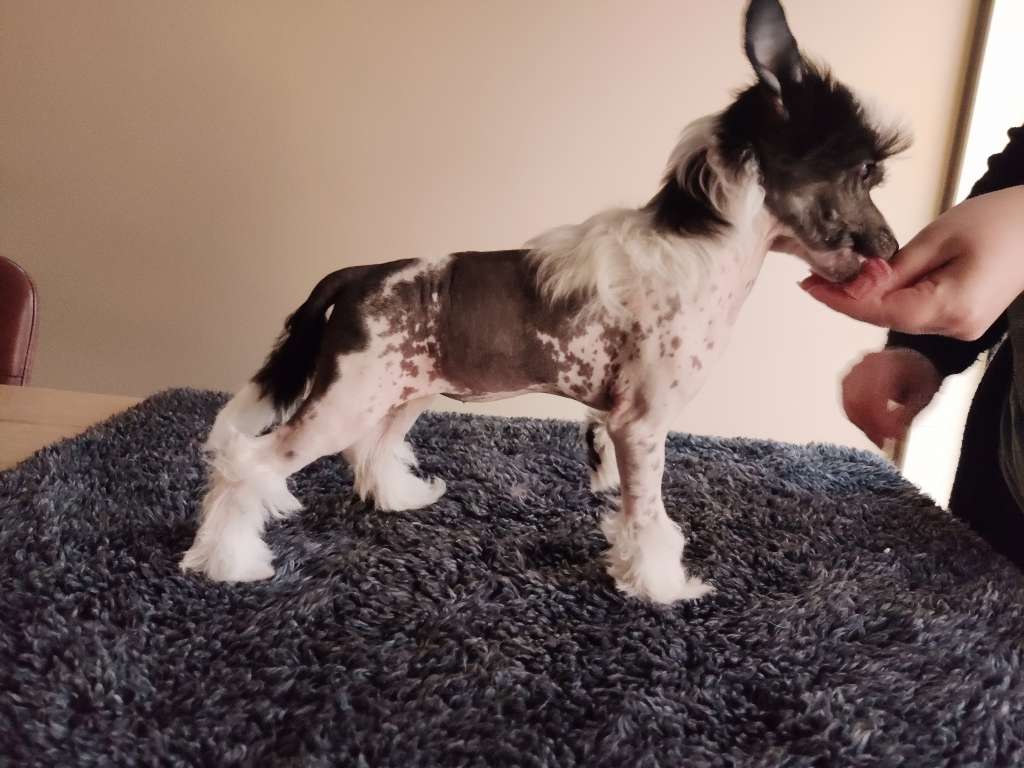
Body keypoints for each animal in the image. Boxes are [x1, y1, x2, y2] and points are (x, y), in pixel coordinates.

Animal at [180, 0, 906, 603]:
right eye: (865, 172)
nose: (892, 248)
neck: (698, 243)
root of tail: (359, 273)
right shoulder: (640, 425)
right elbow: (649, 518)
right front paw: (661, 586)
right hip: (347, 397)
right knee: (248, 465)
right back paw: (228, 561)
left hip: (399, 392)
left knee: (371, 451)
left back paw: (402, 498)